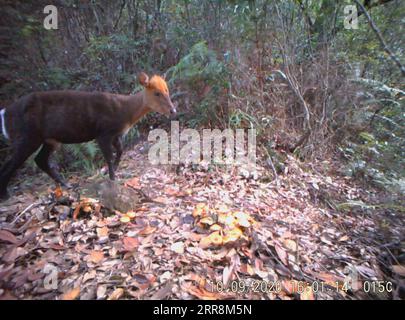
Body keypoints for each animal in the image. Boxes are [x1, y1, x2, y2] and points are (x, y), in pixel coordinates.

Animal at [0, 72, 174, 200]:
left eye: (167, 90)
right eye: (157, 93)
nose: (173, 110)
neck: (125, 112)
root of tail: (5, 113)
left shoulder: (116, 134)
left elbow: (120, 151)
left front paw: (113, 172)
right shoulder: (102, 133)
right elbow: (109, 156)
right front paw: (112, 179)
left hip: (49, 139)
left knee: (40, 160)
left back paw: (65, 185)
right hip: (28, 136)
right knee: (11, 163)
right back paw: (5, 195)